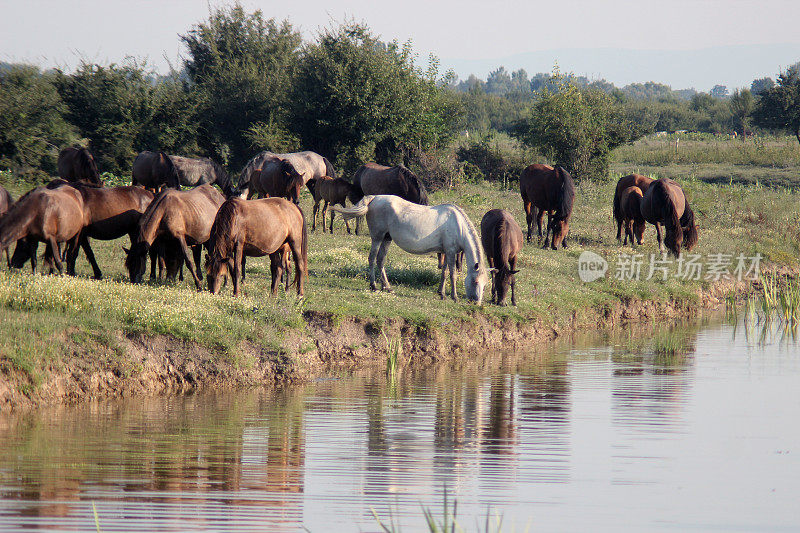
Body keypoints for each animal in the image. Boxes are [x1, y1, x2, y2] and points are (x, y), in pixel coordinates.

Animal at [332, 195, 488, 304]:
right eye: (475, 281)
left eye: (485, 284)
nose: (476, 303)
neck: (458, 225)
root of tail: (375, 198)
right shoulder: (450, 252)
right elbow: (452, 274)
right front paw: (454, 297)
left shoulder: (445, 252)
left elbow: (444, 273)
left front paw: (441, 293)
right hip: (377, 237)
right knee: (372, 258)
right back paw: (374, 286)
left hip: (386, 239)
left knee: (380, 260)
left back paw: (386, 287)